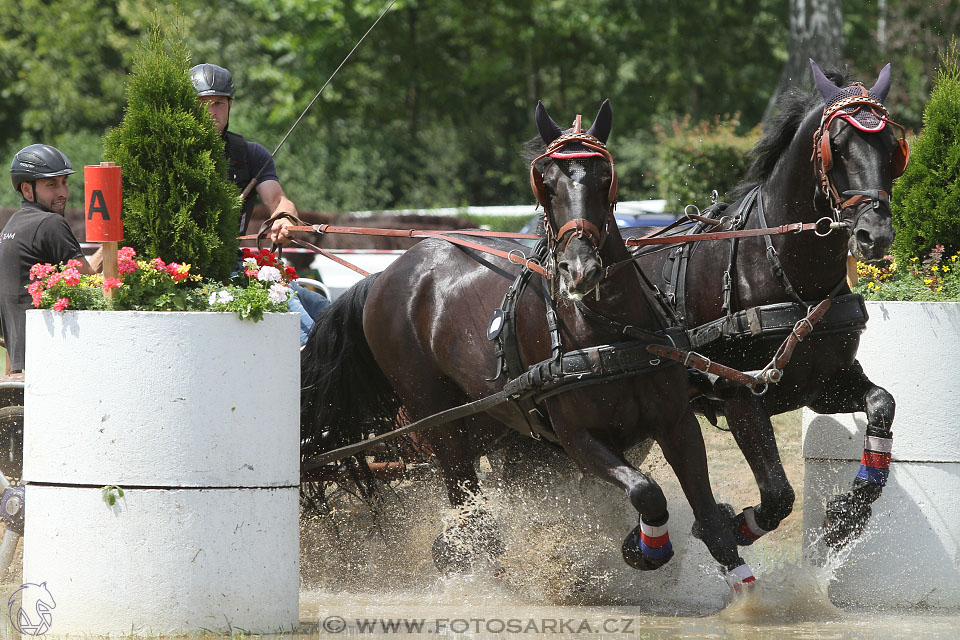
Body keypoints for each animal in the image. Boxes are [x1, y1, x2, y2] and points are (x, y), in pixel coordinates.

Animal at [300, 101, 756, 592]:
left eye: (604, 179)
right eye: (547, 185)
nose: (581, 269)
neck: (609, 333)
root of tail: (384, 274)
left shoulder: (676, 423)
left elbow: (709, 519)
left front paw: (743, 590)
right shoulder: (577, 438)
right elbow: (646, 491)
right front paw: (642, 548)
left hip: (487, 415)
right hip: (437, 418)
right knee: (470, 514)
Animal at [632, 61, 904, 552]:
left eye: (893, 148)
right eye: (836, 147)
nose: (876, 234)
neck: (789, 275)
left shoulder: (823, 384)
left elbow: (882, 403)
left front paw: (848, 513)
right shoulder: (739, 394)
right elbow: (778, 494)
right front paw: (731, 523)